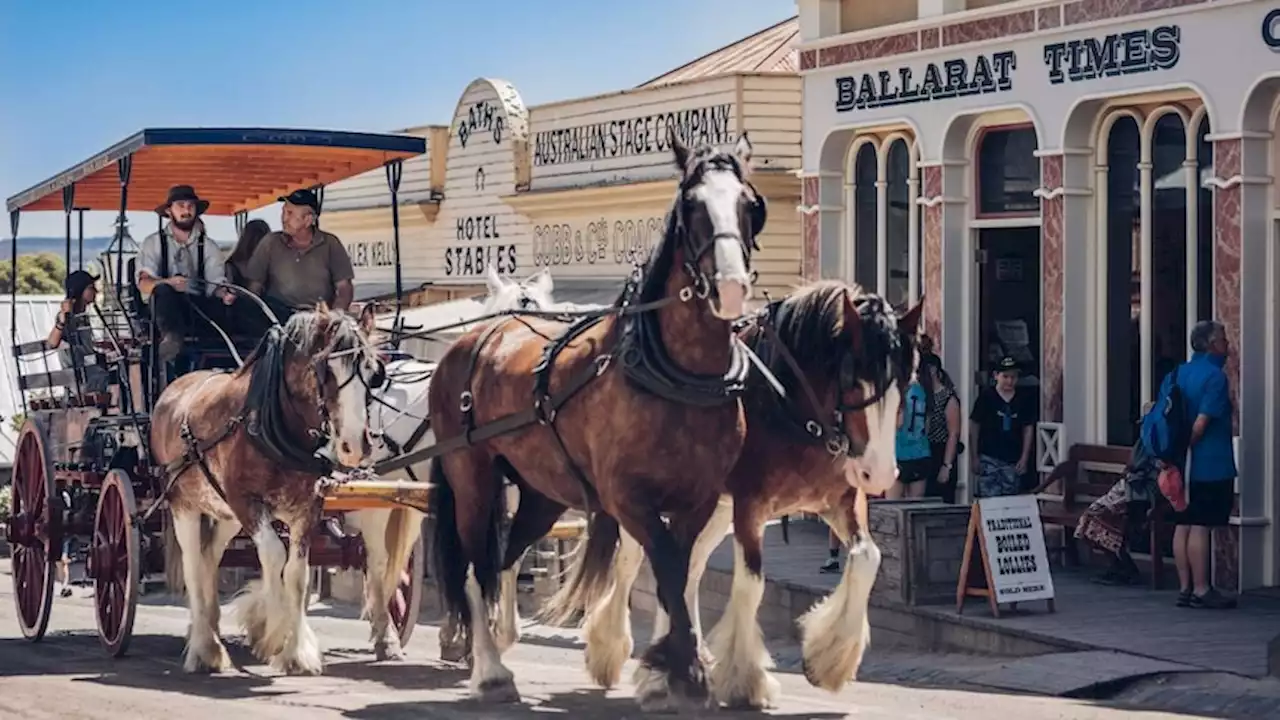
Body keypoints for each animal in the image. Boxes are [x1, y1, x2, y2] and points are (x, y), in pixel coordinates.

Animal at [152, 303, 381, 671]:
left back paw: (210, 628)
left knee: (209, 556)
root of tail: (175, 388)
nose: (354, 446)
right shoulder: (247, 502)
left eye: (373, 371)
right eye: (326, 370)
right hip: (184, 505)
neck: (275, 423)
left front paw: (297, 651)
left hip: (225, 513)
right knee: (192, 565)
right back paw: (205, 646)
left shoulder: (306, 507)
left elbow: (298, 573)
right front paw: (272, 633)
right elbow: (275, 556)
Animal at [430, 128, 762, 707]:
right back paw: (490, 670)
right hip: (470, 478)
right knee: (476, 567)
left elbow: (679, 575)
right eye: (691, 205)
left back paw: (500, 639)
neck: (677, 376)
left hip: (540, 492)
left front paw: (670, 666)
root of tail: (473, 338)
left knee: (506, 558)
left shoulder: (698, 499)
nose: (731, 287)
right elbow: (668, 569)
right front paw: (681, 670)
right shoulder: (629, 499)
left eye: (749, 204)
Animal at [550, 281, 921, 707]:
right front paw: (745, 678)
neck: (792, 407)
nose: (880, 473)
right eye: (851, 378)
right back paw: (616, 651)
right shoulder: (750, 506)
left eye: (904, 381)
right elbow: (751, 584)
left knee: (687, 570)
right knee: (634, 564)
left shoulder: (841, 501)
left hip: (712, 510)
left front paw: (828, 659)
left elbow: (867, 558)